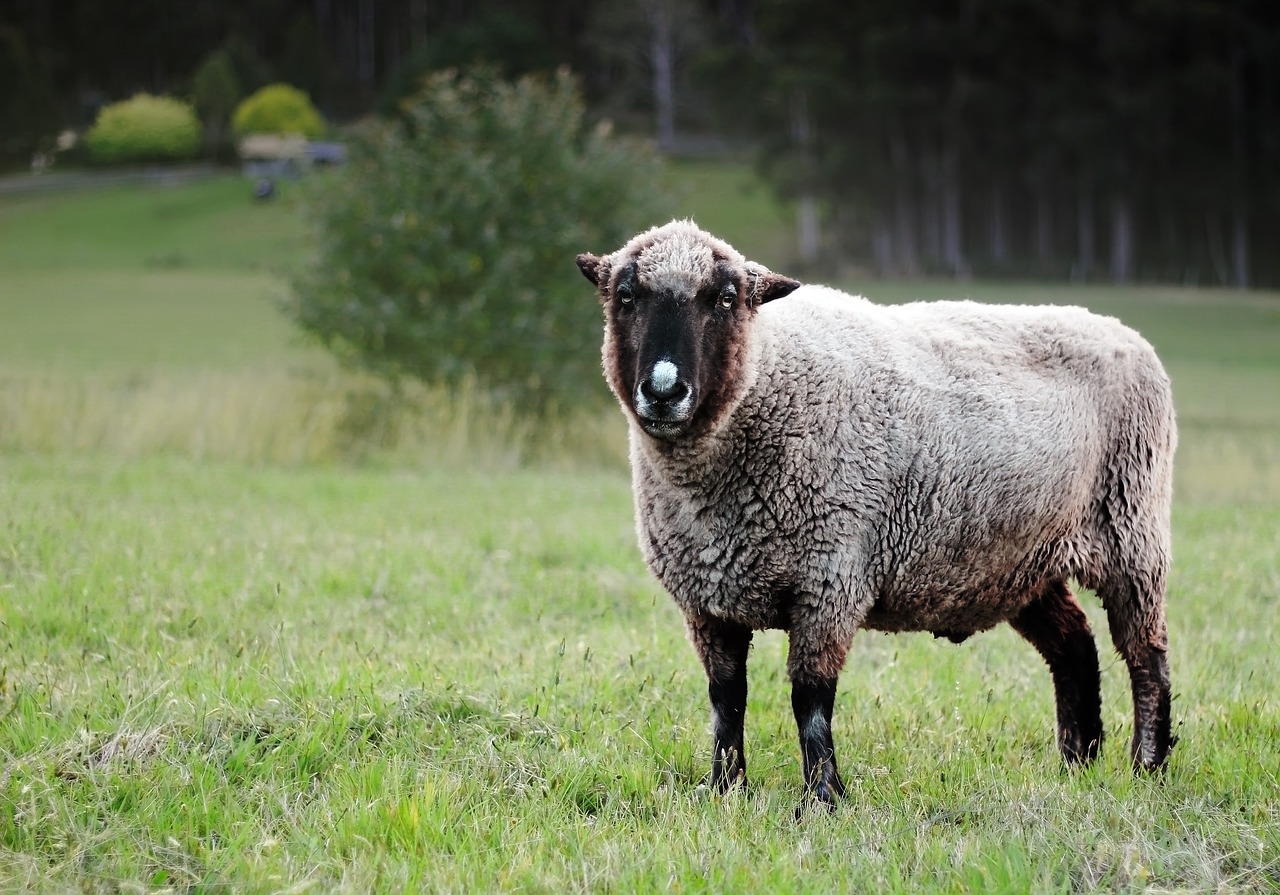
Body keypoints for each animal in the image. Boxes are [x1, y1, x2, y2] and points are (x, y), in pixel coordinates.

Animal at [576, 218, 1172, 814]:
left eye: (725, 299)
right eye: (625, 296)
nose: (663, 391)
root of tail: (1121, 330)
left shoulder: (830, 577)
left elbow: (810, 699)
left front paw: (822, 798)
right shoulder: (707, 601)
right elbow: (726, 698)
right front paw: (725, 788)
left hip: (1132, 530)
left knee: (1146, 655)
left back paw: (1148, 766)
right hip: (1021, 563)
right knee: (1074, 645)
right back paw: (1078, 761)